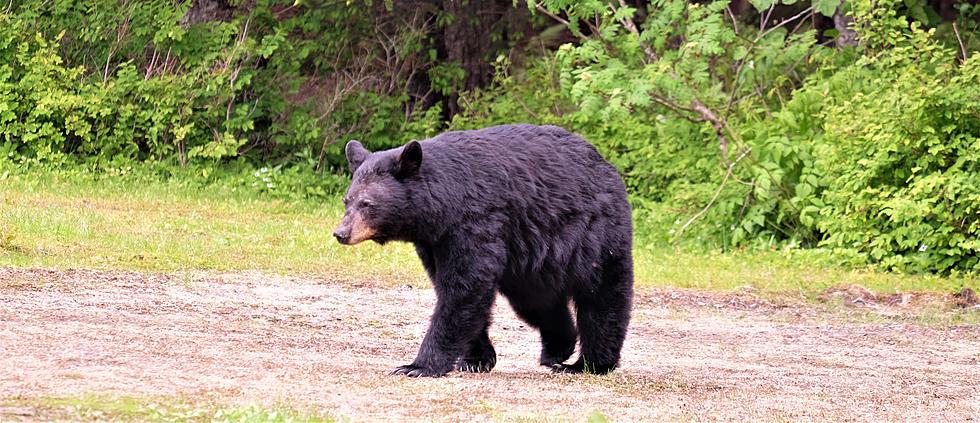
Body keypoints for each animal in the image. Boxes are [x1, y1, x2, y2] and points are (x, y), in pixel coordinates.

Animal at [334, 123, 632, 378]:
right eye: (347, 200)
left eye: (367, 203)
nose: (341, 233)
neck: (444, 206)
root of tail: (607, 165)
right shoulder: (434, 242)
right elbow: (453, 288)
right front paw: (476, 359)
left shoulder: (475, 222)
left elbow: (465, 287)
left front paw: (417, 366)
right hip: (530, 261)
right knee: (538, 301)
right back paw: (557, 349)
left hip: (594, 234)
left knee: (602, 295)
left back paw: (590, 363)